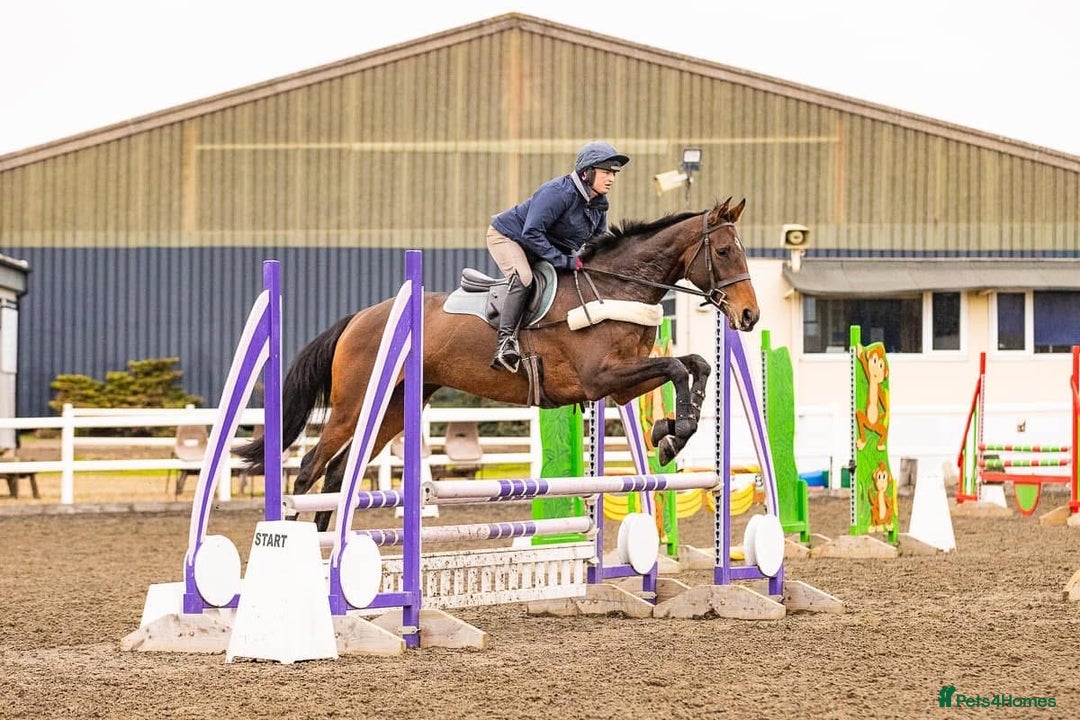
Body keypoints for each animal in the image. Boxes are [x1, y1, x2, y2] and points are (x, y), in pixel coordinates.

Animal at [239, 196, 759, 530]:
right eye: (724, 250)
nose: (749, 316)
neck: (615, 287)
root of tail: (359, 318)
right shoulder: (600, 379)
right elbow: (677, 368)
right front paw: (673, 434)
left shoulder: (622, 384)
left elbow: (695, 364)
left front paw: (671, 431)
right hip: (355, 404)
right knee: (310, 466)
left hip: (394, 407)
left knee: (339, 471)